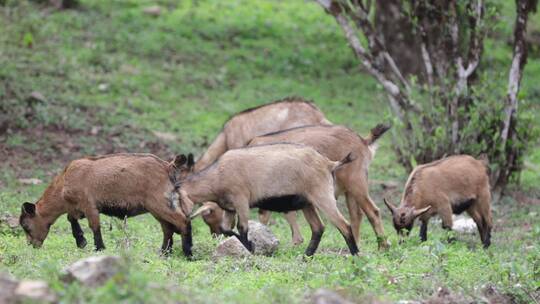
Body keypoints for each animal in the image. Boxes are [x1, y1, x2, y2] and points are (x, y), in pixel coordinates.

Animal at [20, 153, 195, 255]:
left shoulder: (89, 205)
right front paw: (81, 241)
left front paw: (99, 248)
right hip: (158, 207)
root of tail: (167, 165)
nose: (31, 245)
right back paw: (164, 252)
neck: (63, 182)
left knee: (182, 221)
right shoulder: (76, 208)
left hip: (158, 203)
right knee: (168, 228)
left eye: (26, 226)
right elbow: (71, 218)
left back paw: (188, 253)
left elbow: (94, 226)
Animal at [179, 144, 360, 255]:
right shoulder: (229, 208)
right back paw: (306, 256)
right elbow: (225, 228)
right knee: (318, 228)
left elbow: (242, 227)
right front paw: (249, 246)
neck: (216, 175)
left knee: (344, 225)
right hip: (307, 202)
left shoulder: (241, 200)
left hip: (322, 196)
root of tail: (329, 163)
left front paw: (251, 249)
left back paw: (356, 256)